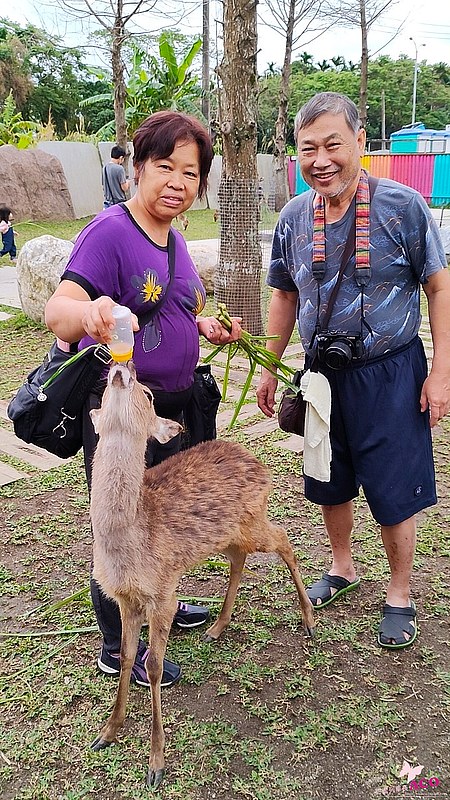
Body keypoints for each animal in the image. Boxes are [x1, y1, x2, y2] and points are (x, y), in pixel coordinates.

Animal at [88, 362, 312, 788]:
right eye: (105, 391)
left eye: (148, 393)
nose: (124, 367)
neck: (129, 540)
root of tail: (259, 463)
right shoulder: (125, 597)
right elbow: (126, 657)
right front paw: (107, 732)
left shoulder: (162, 591)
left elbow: (154, 668)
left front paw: (156, 764)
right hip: (225, 536)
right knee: (240, 559)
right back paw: (218, 627)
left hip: (252, 520)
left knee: (284, 540)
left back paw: (309, 619)